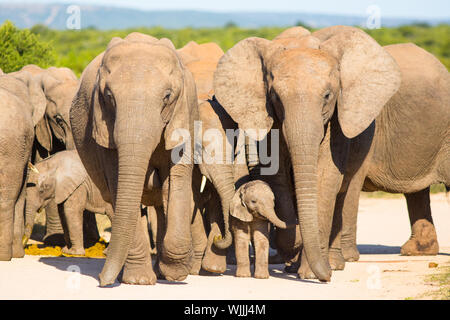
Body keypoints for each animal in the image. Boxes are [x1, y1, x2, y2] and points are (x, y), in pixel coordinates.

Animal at [70, 32, 197, 286]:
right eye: (109, 97)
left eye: (167, 97)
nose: (102, 280)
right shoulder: (104, 128)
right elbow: (119, 184)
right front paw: (139, 280)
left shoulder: (184, 115)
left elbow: (176, 182)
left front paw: (177, 272)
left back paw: (162, 272)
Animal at [214, 25, 400, 280]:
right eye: (275, 97)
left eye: (328, 95)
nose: (327, 278)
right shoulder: (269, 118)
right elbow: (277, 177)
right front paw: (295, 247)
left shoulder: (336, 122)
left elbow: (325, 178)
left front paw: (311, 273)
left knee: (344, 193)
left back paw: (334, 263)